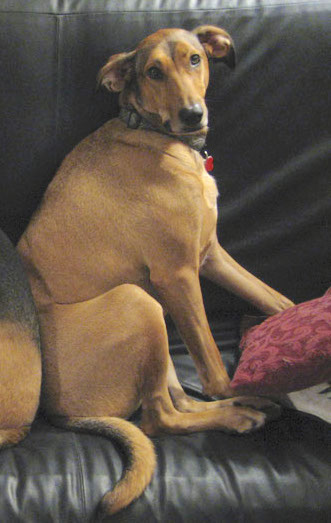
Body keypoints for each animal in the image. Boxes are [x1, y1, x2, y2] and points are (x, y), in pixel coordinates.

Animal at [16, 26, 294, 516]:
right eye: (152, 72)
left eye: (195, 59)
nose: (192, 114)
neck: (153, 132)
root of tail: (60, 412)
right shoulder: (178, 274)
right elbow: (210, 363)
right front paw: (230, 388)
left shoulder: (211, 255)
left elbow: (273, 298)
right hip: (140, 300)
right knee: (159, 419)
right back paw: (238, 414)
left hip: (158, 333)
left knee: (178, 400)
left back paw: (253, 401)